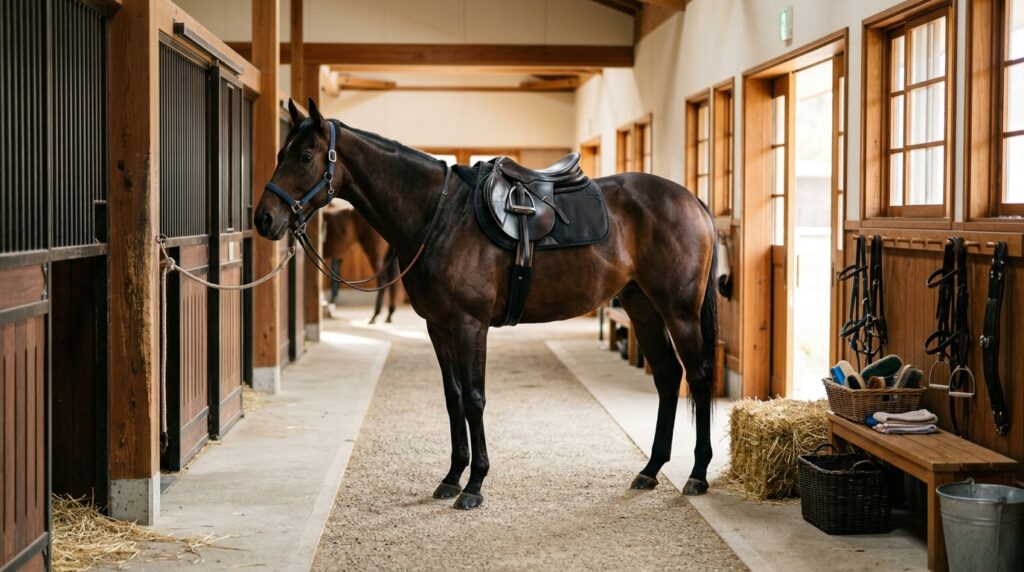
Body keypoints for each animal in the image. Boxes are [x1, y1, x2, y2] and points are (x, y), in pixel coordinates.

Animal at [255, 98, 718, 510]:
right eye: (281, 153)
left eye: (306, 155)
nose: (264, 219)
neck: (440, 215)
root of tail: (690, 199)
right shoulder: (439, 327)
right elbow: (454, 397)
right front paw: (451, 477)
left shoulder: (469, 325)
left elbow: (475, 398)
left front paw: (475, 485)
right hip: (643, 307)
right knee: (666, 377)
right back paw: (651, 469)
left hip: (678, 311)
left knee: (697, 376)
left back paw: (697, 474)